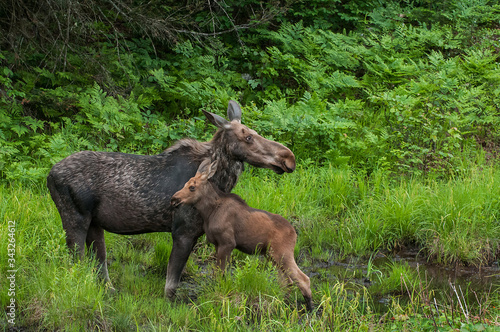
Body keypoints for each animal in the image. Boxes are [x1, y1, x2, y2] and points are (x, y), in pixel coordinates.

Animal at [46, 100, 296, 296]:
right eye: (248, 137)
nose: (288, 157)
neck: (219, 181)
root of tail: (49, 175)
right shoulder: (184, 231)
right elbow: (171, 284)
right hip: (74, 218)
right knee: (77, 261)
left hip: (95, 224)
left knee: (99, 265)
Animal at [172, 160, 312, 310]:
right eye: (185, 184)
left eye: (192, 187)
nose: (174, 199)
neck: (208, 211)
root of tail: (294, 233)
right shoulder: (217, 244)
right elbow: (218, 273)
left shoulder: (227, 243)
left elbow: (220, 273)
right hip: (271, 255)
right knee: (286, 282)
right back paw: (282, 303)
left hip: (282, 253)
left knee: (303, 278)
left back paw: (309, 307)